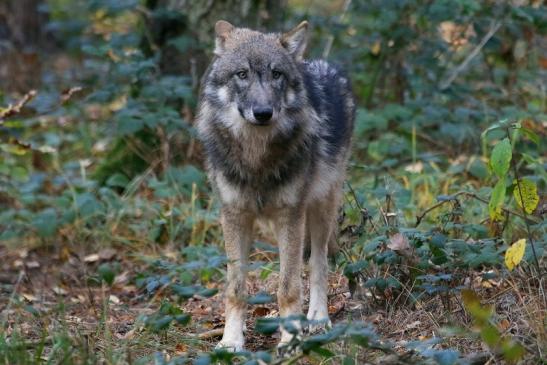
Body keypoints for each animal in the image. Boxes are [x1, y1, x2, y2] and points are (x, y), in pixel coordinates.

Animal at [196, 19, 356, 350]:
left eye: (276, 74)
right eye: (242, 74)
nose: (263, 113)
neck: (256, 157)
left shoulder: (290, 215)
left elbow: (288, 287)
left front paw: (290, 339)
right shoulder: (234, 216)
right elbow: (235, 288)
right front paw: (231, 341)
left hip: (322, 207)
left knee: (319, 262)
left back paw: (318, 318)